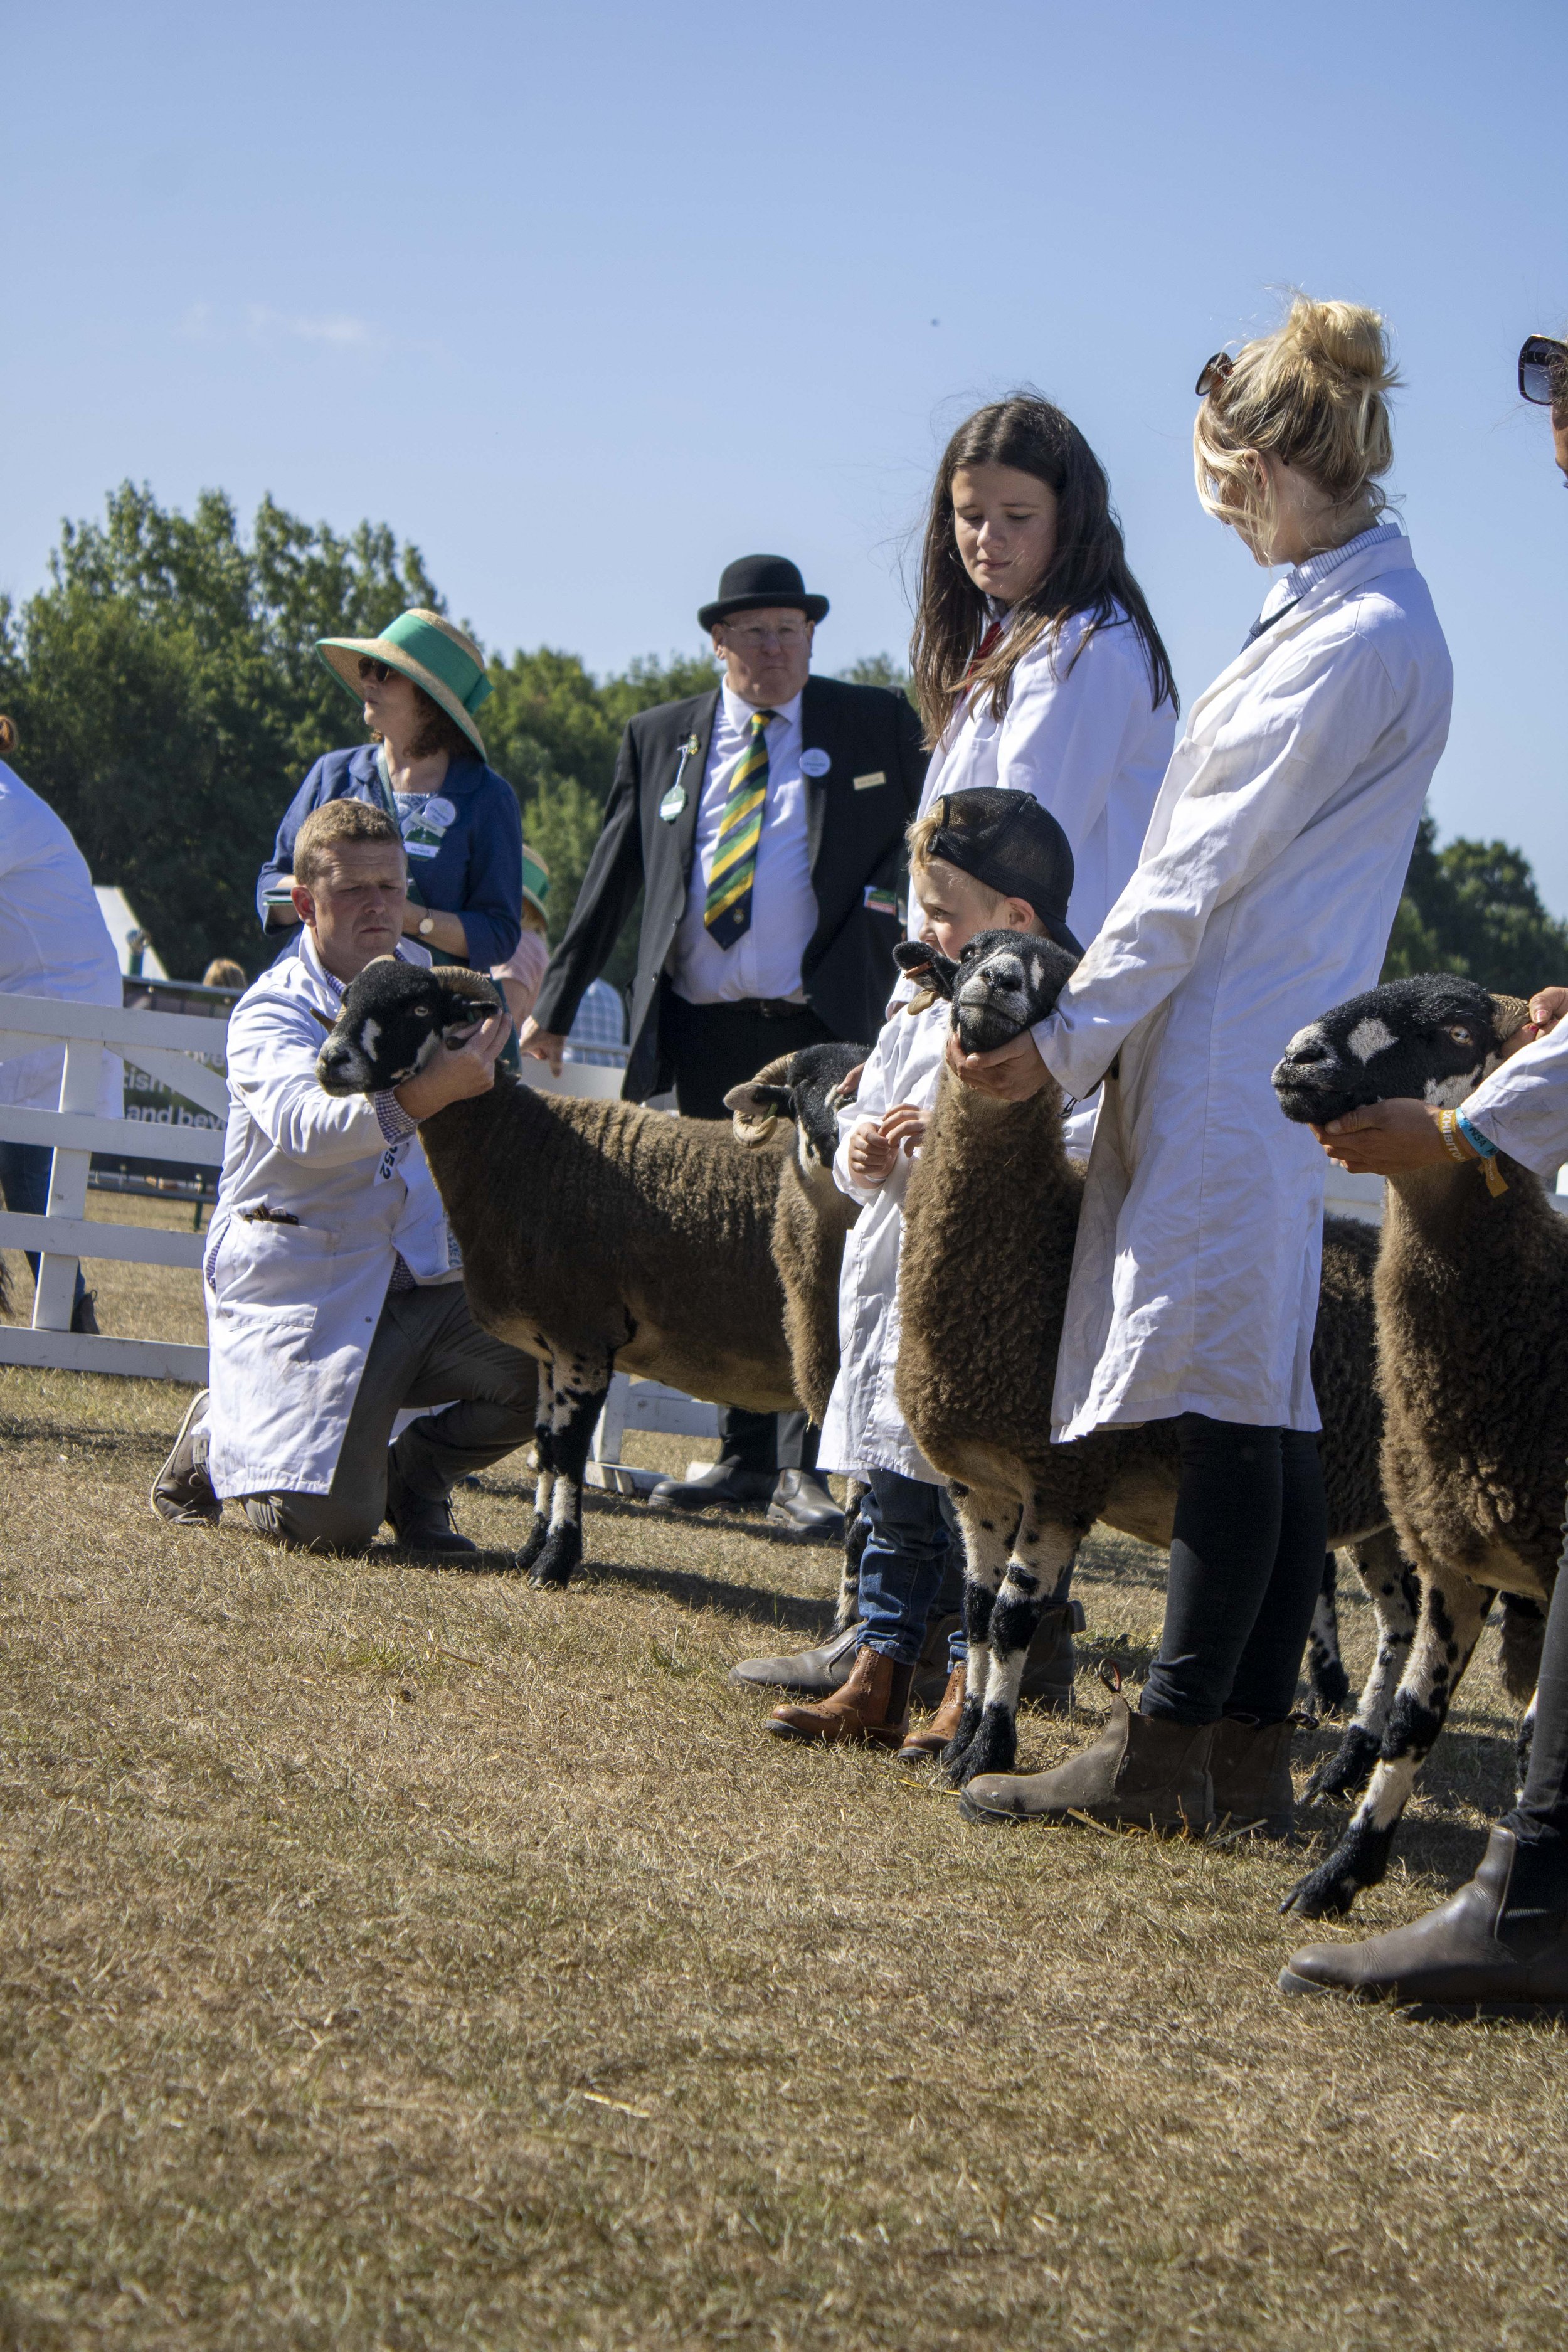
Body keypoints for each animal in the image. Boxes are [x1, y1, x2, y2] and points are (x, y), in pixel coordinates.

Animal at [315, 959, 864, 1589]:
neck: (521, 1146)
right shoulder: (548, 1349)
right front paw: (530, 1550)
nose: (330, 1062)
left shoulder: (585, 1335)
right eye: (346, 999)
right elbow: (546, 1448)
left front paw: (555, 1561)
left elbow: (571, 1454)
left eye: (421, 1008)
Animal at [887, 930, 1403, 1795]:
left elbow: (1013, 1617)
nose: (995, 982)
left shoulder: (1065, 1473)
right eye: (974, 951)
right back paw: (1344, 1766)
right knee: (1399, 1625)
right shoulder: (981, 1483)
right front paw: (959, 1749)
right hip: (1384, 1511)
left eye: (1063, 979)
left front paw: (989, 1755)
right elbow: (976, 1613)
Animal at [1271, 972, 1566, 1917]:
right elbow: (1414, 1719)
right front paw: (1335, 1877)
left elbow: (1541, 1740)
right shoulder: (1453, 1558)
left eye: (1460, 1031)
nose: (1299, 1058)